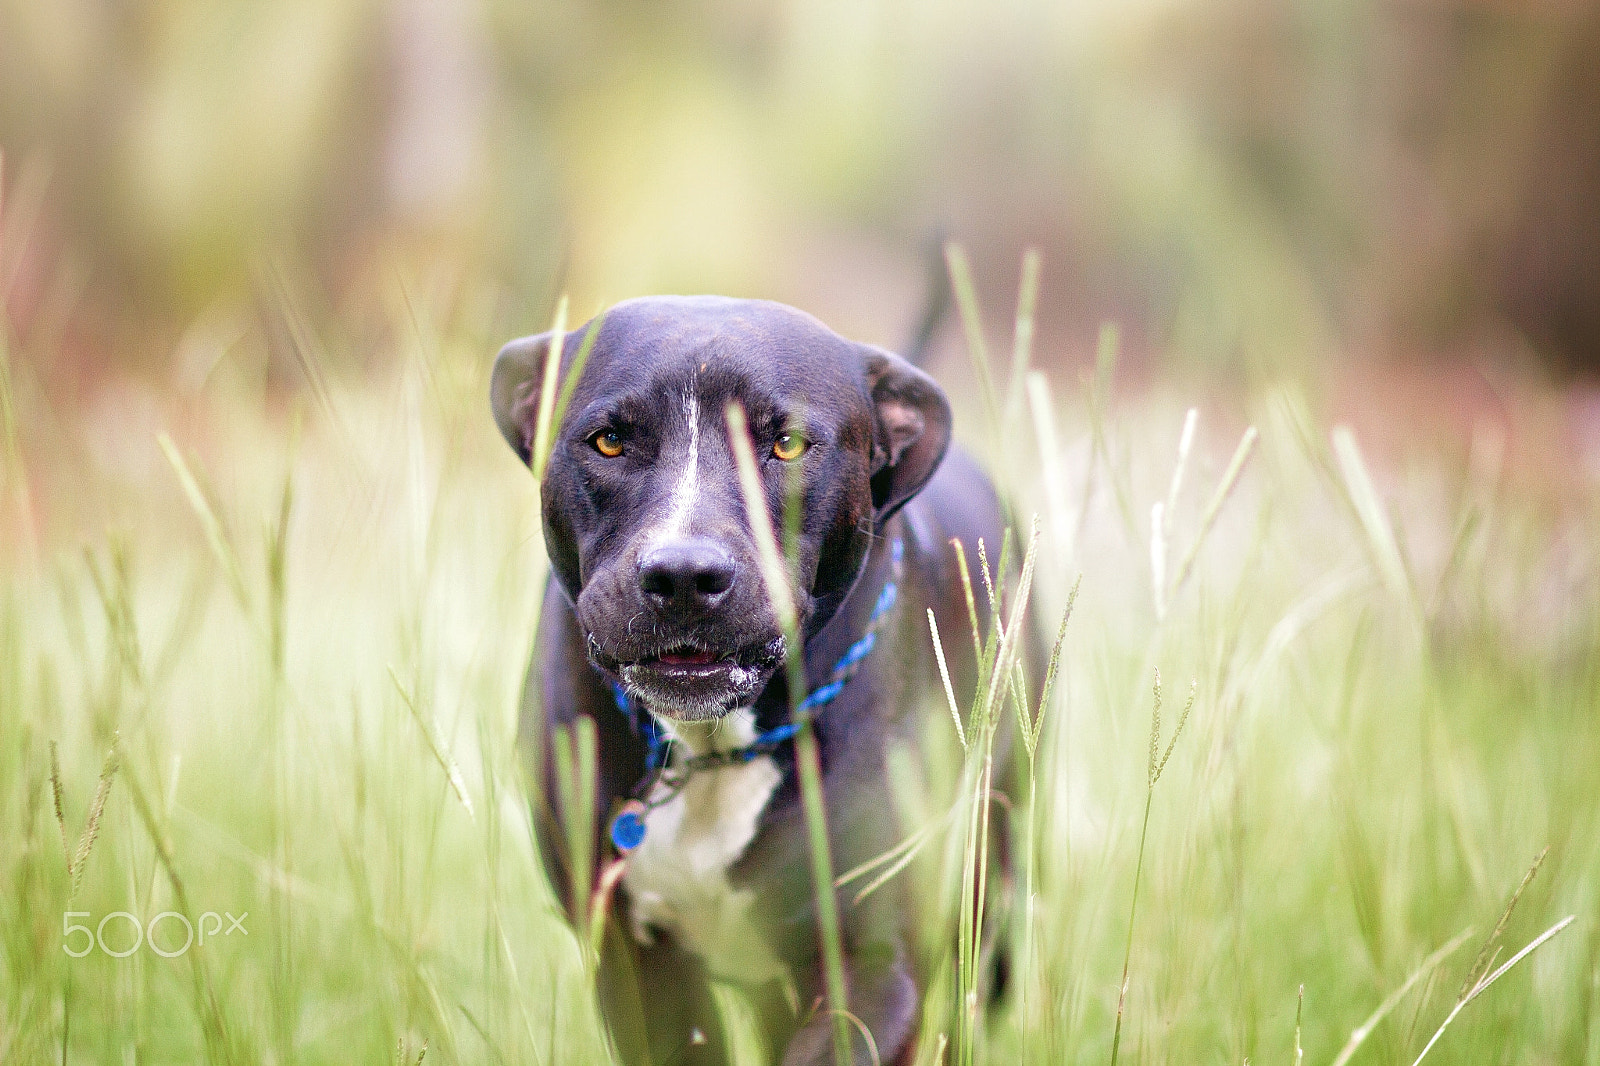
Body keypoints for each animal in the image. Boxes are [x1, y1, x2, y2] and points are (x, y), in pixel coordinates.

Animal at [492, 294, 1004, 1056]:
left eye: (787, 444)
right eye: (609, 441)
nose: (682, 574)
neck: (713, 752)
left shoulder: (878, 971)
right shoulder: (635, 969)